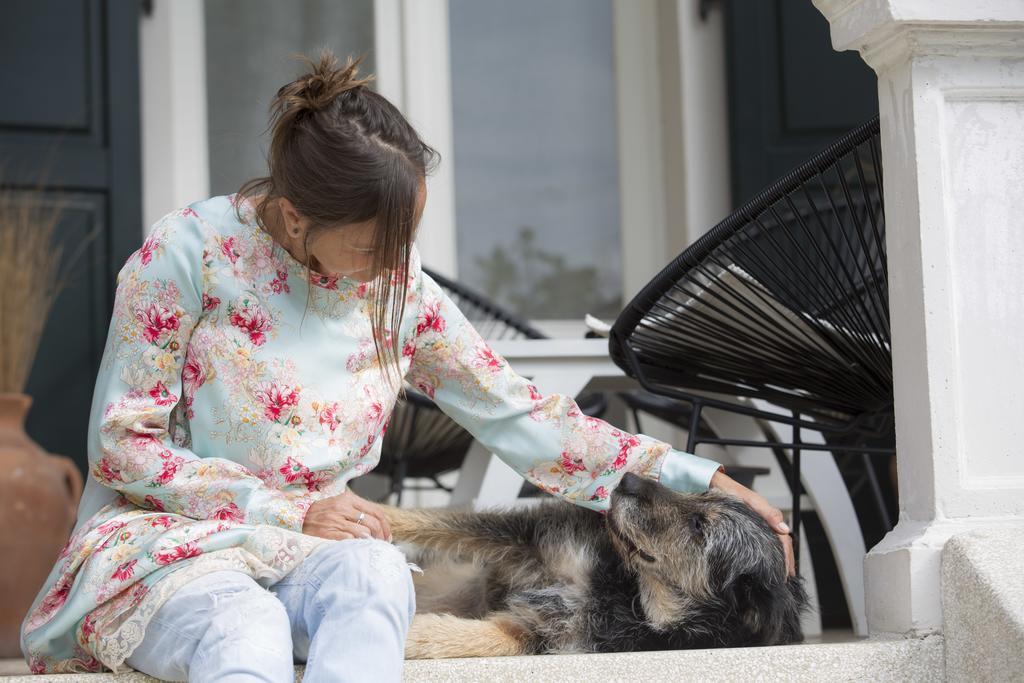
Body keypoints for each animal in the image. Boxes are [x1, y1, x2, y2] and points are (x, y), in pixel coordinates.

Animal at [385, 473, 806, 659]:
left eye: (700, 525)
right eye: (701, 491)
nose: (628, 478)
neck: (628, 591)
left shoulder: (544, 633)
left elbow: (477, 638)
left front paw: (412, 633)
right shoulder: (527, 535)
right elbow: (424, 519)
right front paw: (366, 509)